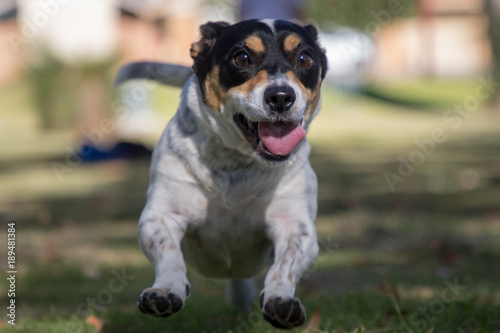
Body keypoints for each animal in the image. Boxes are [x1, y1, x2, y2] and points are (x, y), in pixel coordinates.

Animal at [116, 19, 328, 328]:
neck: (236, 166)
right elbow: (169, 252)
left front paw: (280, 299)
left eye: (304, 58)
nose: (280, 96)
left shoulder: (296, 227)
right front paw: (166, 289)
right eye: (242, 58)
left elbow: (284, 264)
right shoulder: (160, 217)